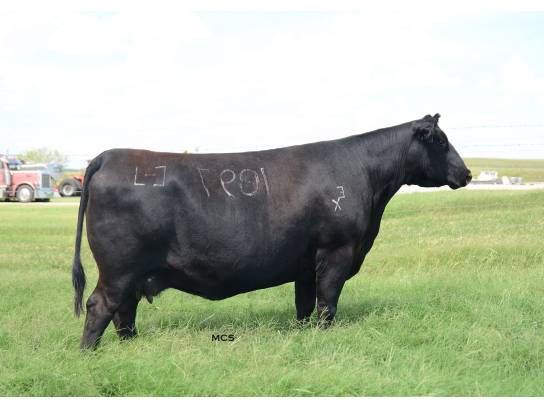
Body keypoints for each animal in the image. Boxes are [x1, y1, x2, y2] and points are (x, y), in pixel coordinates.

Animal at [72, 114, 471, 349]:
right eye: (440, 141)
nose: (467, 173)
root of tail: (107, 155)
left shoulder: (306, 263)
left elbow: (304, 305)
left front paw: (302, 334)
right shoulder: (337, 251)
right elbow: (327, 302)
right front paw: (324, 337)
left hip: (131, 272)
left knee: (124, 309)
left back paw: (131, 346)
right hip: (119, 266)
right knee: (100, 305)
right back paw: (90, 352)